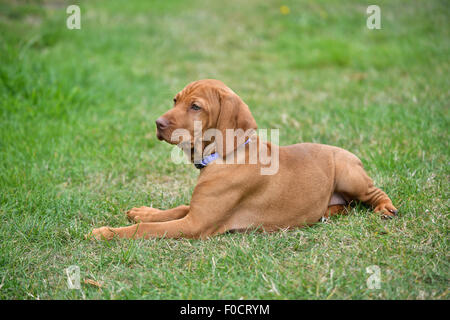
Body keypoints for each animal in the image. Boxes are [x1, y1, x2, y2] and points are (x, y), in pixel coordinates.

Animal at [89, 79, 398, 240]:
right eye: (175, 100)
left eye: (195, 106)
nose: (158, 123)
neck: (224, 155)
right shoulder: (197, 210)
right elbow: (175, 208)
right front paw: (144, 211)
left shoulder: (195, 224)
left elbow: (145, 229)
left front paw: (106, 232)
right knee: (344, 206)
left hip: (349, 174)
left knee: (374, 194)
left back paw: (385, 208)